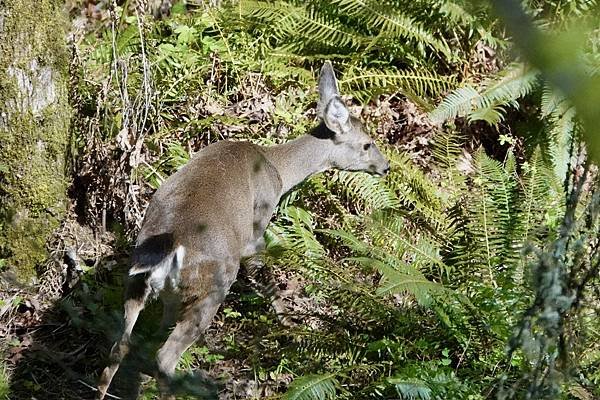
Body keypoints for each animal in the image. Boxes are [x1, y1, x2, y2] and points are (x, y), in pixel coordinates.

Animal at [98, 61, 390, 398]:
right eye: (367, 143)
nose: (386, 167)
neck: (279, 170)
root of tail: (168, 249)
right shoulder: (256, 226)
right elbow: (266, 274)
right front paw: (290, 326)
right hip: (214, 283)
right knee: (164, 356)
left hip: (139, 282)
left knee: (121, 345)